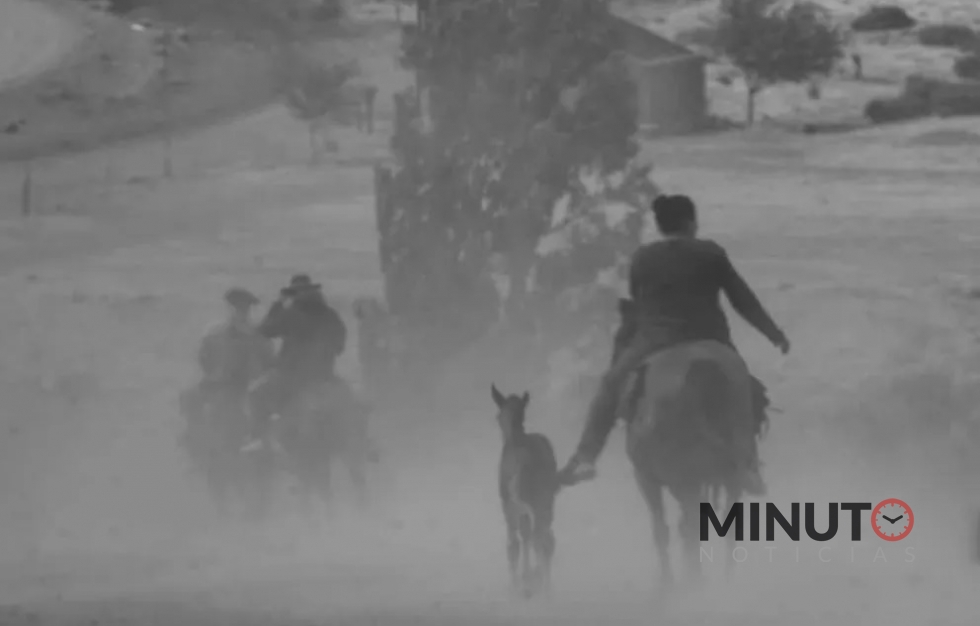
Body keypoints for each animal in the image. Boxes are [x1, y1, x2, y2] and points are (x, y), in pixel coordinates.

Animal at [492, 384, 560, 599]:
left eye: (497, 416)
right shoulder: (523, 508)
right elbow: (526, 535)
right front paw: (528, 577)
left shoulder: (511, 506)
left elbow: (519, 540)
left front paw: (523, 581)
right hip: (546, 501)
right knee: (546, 539)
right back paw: (544, 587)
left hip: (527, 503)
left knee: (530, 541)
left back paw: (537, 588)